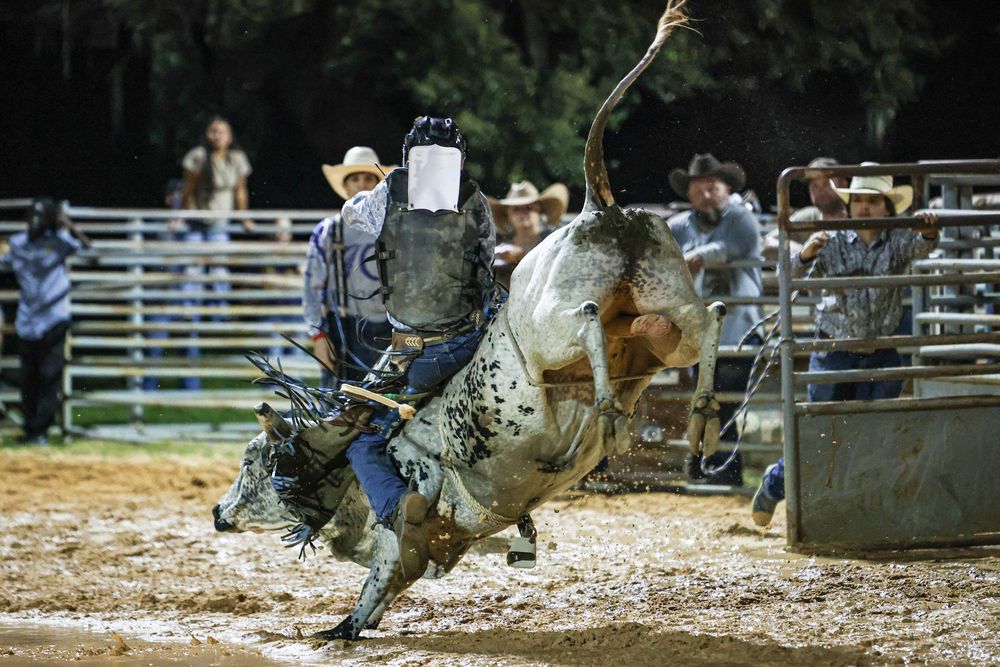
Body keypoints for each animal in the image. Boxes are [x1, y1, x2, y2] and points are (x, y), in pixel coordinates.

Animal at [215, 0, 725, 640]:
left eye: (252, 461)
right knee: (704, 320)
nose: (217, 513)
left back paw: (614, 415)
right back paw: (699, 419)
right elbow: (387, 588)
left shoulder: (399, 517)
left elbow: (377, 579)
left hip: (554, 331)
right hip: (664, 313)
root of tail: (597, 207)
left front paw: (339, 629)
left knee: (586, 320)